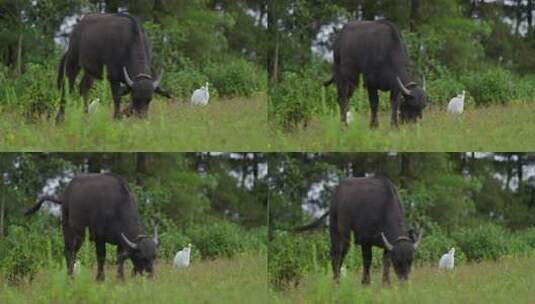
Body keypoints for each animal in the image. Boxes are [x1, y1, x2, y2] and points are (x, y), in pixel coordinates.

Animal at [24, 173, 158, 280]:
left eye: (154, 257)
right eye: (142, 257)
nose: (151, 276)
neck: (116, 208)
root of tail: (65, 194)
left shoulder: (121, 241)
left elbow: (120, 258)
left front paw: (120, 277)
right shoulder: (99, 238)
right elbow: (101, 257)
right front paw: (100, 278)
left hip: (81, 236)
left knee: (74, 252)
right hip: (68, 229)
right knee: (68, 251)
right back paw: (70, 276)